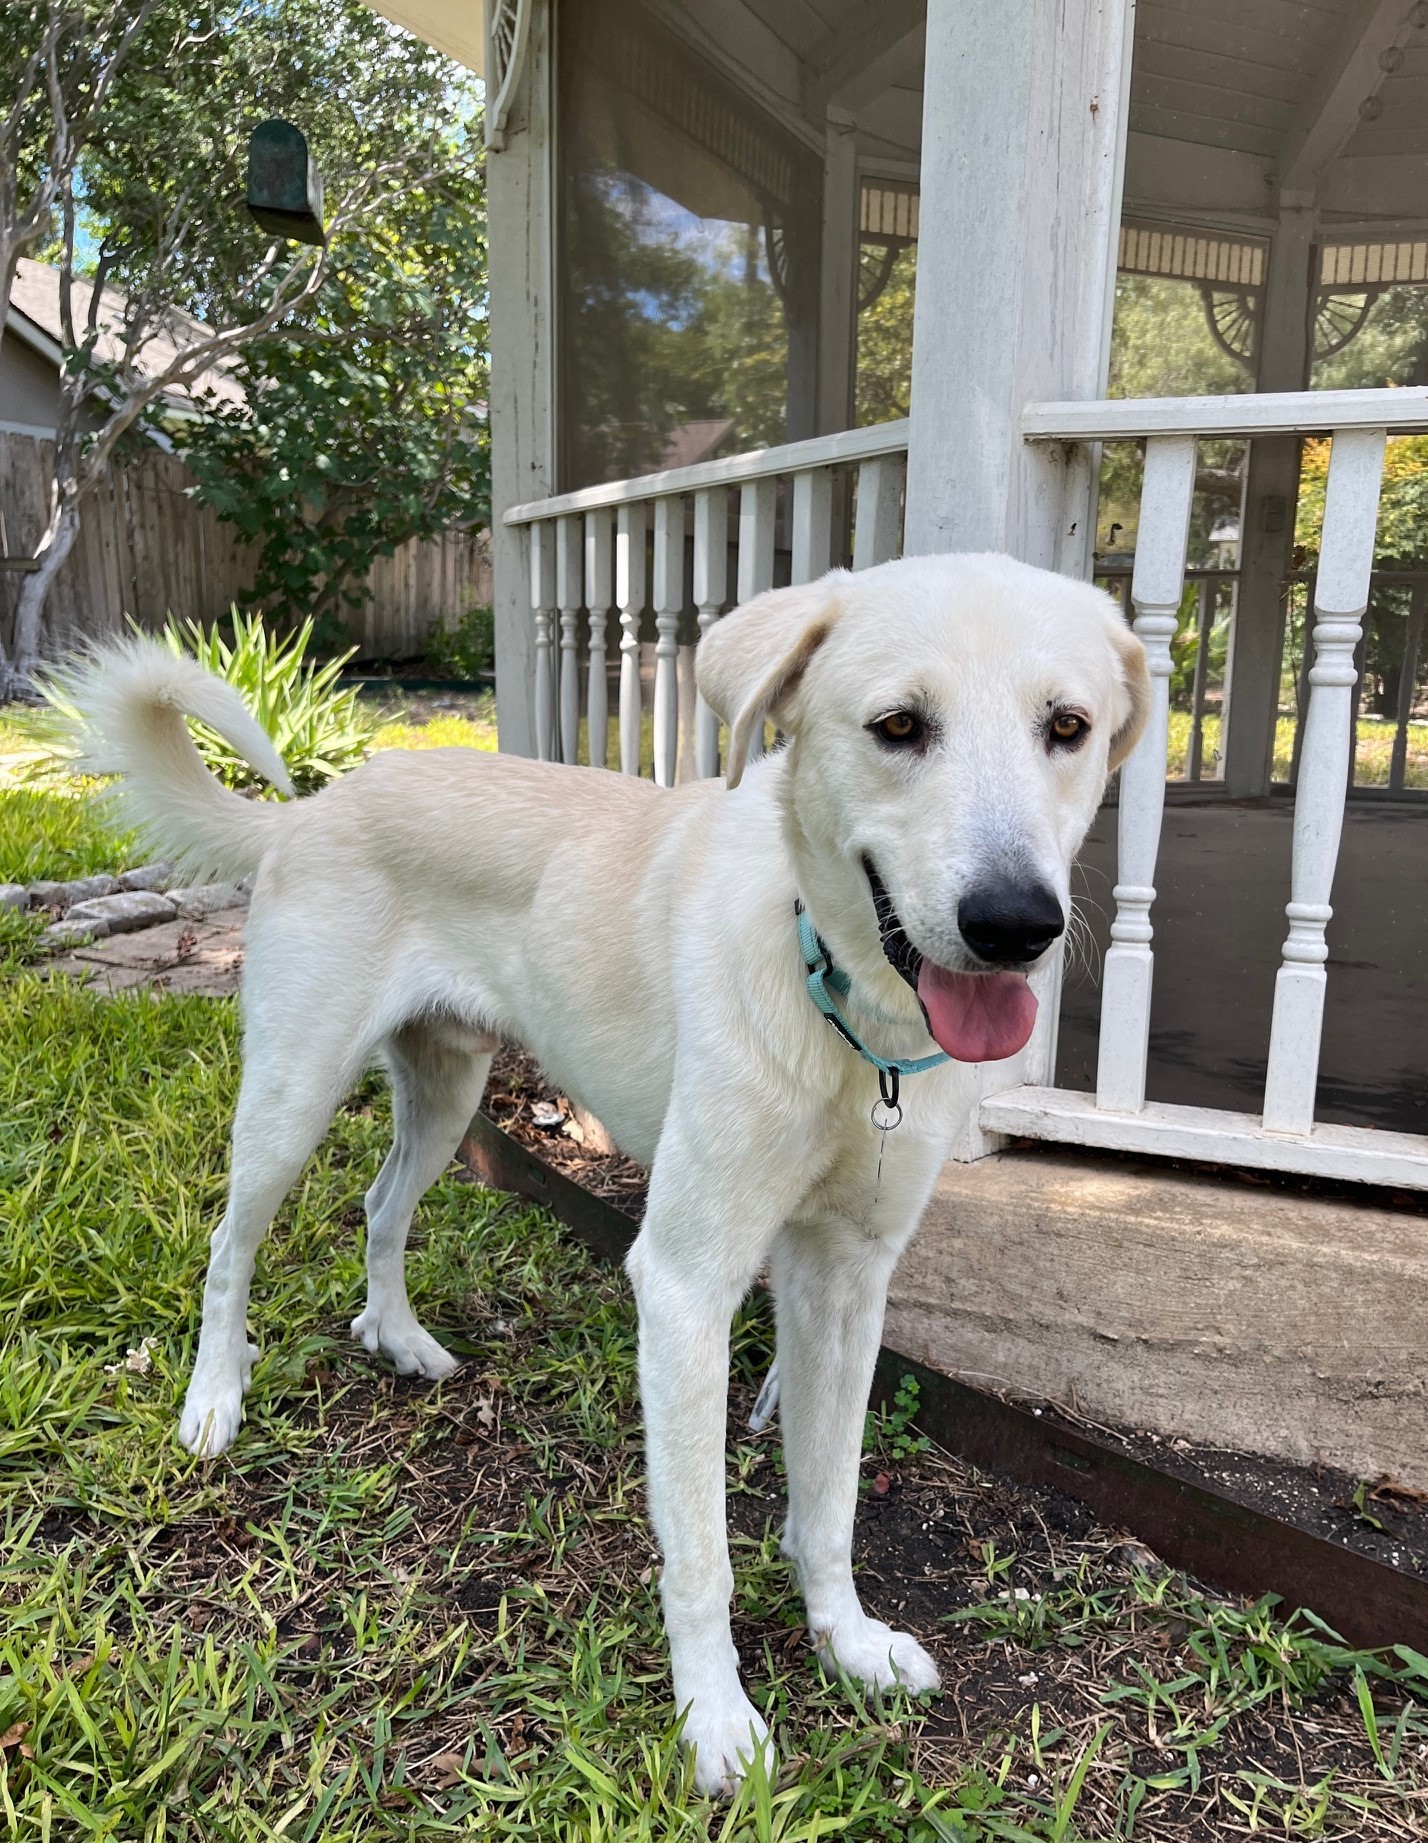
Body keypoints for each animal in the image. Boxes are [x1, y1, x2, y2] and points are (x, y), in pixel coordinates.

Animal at [72, 552, 1157, 1791]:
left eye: (1067, 727)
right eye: (898, 726)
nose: (1016, 923)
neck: (837, 1001)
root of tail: (314, 807)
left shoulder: (845, 1280)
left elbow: (827, 1501)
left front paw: (848, 1643)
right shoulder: (684, 1284)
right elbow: (703, 1548)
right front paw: (717, 1718)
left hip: (447, 1092)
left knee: (381, 1204)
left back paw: (397, 1338)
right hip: (292, 1094)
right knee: (229, 1245)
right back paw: (214, 1400)